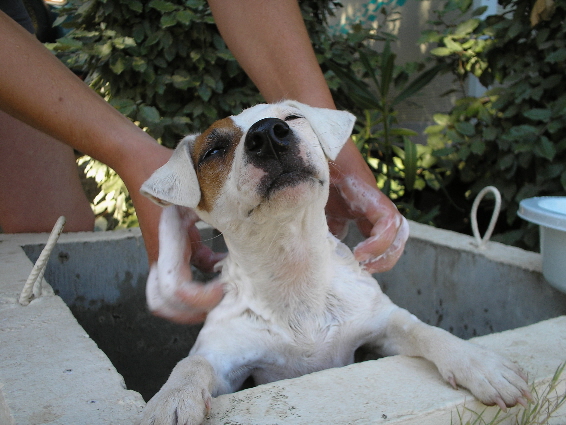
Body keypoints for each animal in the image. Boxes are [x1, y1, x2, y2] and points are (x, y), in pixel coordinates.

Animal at [138, 100, 530, 425]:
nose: (268, 133)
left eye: (292, 118)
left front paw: (478, 363)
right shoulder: (224, 356)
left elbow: (426, 330)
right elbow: (191, 363)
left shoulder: (381, 324)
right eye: (214, 150)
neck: (294, 268)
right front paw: (173, 397)